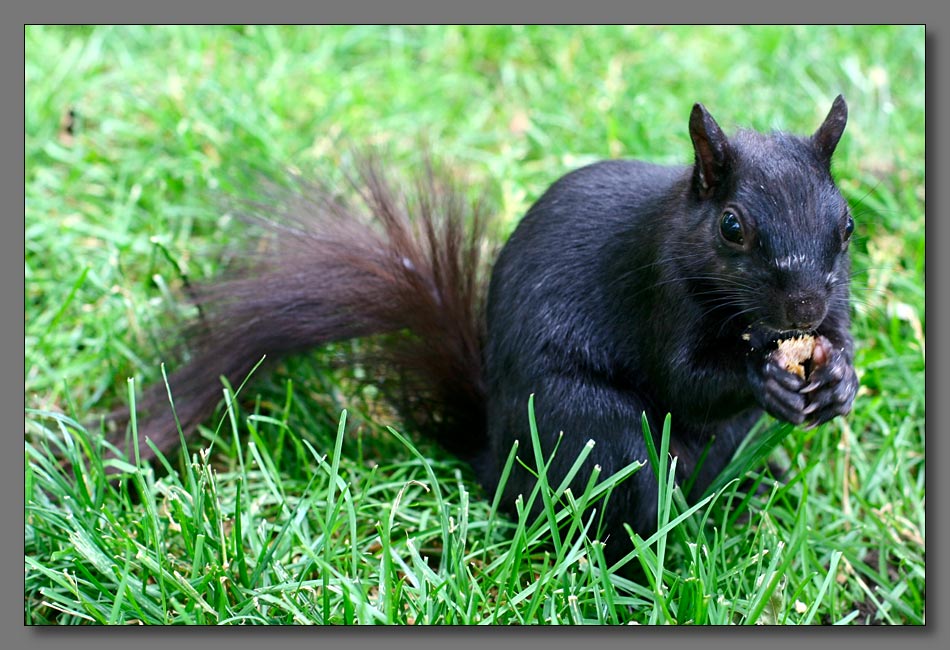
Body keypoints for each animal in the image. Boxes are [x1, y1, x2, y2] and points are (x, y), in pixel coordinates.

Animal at [108, 96, 860, 556]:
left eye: (848, 225)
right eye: (732, 228)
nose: (802, 312)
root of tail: (496, 461)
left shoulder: (838, 294)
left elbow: (843, 337)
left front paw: (839, 380)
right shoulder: (656, 289)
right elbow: (681, 380)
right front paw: (761, 374)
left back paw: (757, 486)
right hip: (592, 430)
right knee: (623, 508)